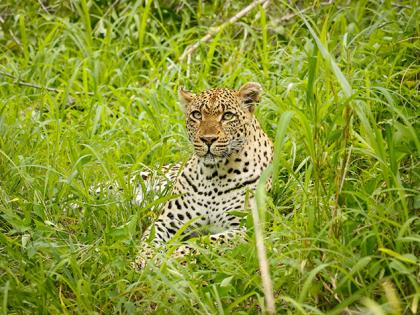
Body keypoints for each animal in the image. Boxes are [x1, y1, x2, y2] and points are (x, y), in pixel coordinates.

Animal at [133, 82, 274, 270]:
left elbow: (205, 242)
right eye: (197, 115)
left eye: (228, 116)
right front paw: (143, 260)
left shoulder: (245, 228)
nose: (208, 139)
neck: (214, 175)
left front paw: (171, 258)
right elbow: (149, 240)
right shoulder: (166, 221)